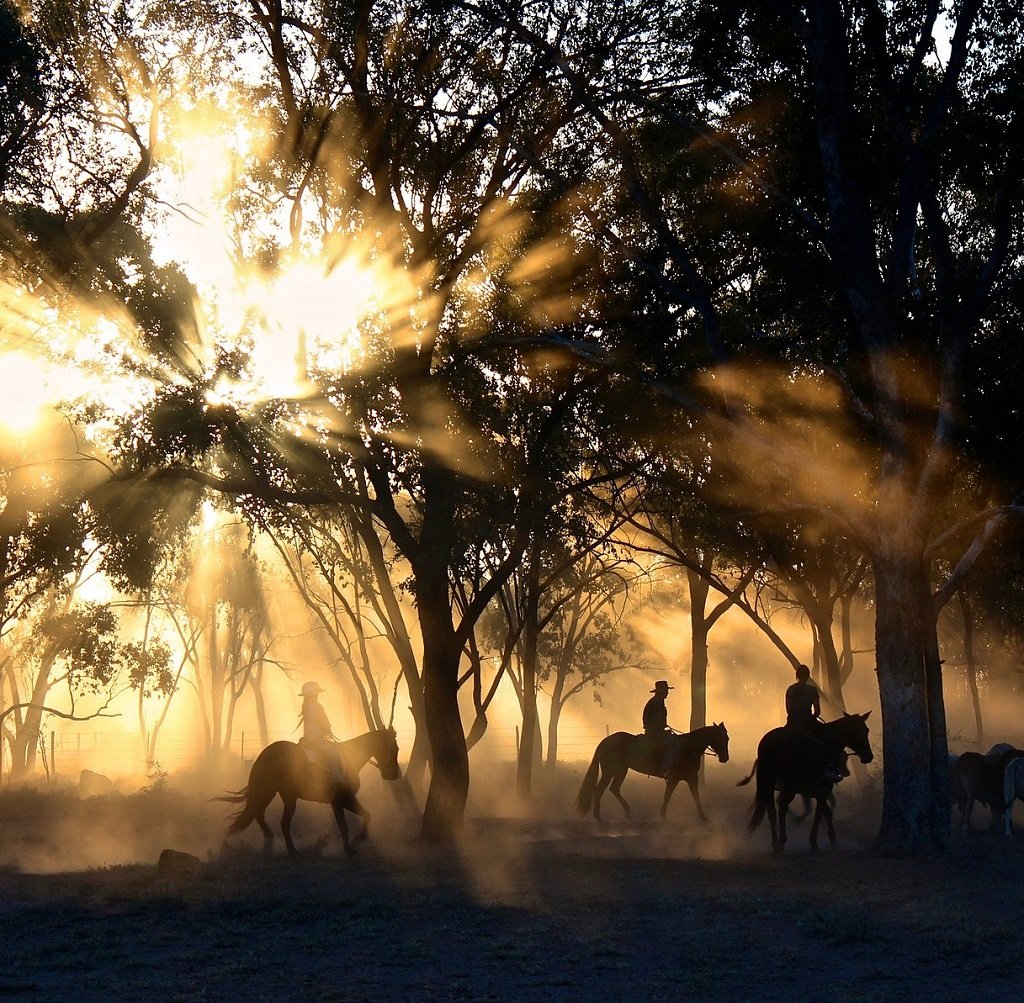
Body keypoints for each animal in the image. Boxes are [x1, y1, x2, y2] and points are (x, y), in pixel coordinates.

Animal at [219, 725, 399, 860]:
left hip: (277, 794)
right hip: (280, 795)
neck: (349, 758)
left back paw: (272, 842)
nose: (394, 775)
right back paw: (292, 850)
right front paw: (350, 847)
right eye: (394, 748)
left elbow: (366, 815)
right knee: (280, 821)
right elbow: (344, 825)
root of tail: (265, 754)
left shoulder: (343, 801)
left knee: (260, 814)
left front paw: (356, 841)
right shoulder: (340, 801)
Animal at [577, 725, 729, 827]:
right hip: (610, 771)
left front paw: (663, 815)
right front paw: (703, 817)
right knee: (600, 790)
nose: (725, 758)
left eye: (727, 738)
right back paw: (598, 817)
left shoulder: (677, 779)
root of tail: (605, 741)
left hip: (621, 771)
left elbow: (668, 796)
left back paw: (627, 813)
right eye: (723, 738)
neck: (688, 747)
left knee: (613, 789)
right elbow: (694, 796)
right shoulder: (690, 778)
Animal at [737, 713, 872, 856]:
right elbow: (819, 813)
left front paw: (832, 838)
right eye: (861, 731)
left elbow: (826, 812)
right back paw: (782, 841)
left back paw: (775, 843)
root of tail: (775, 741)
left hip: (769, 782)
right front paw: (815, 842)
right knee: (782, 806)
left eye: (867, 730)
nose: (869, 756)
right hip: (790, 785)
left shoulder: (816, 791)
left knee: (772, 810)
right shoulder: (823, 789)